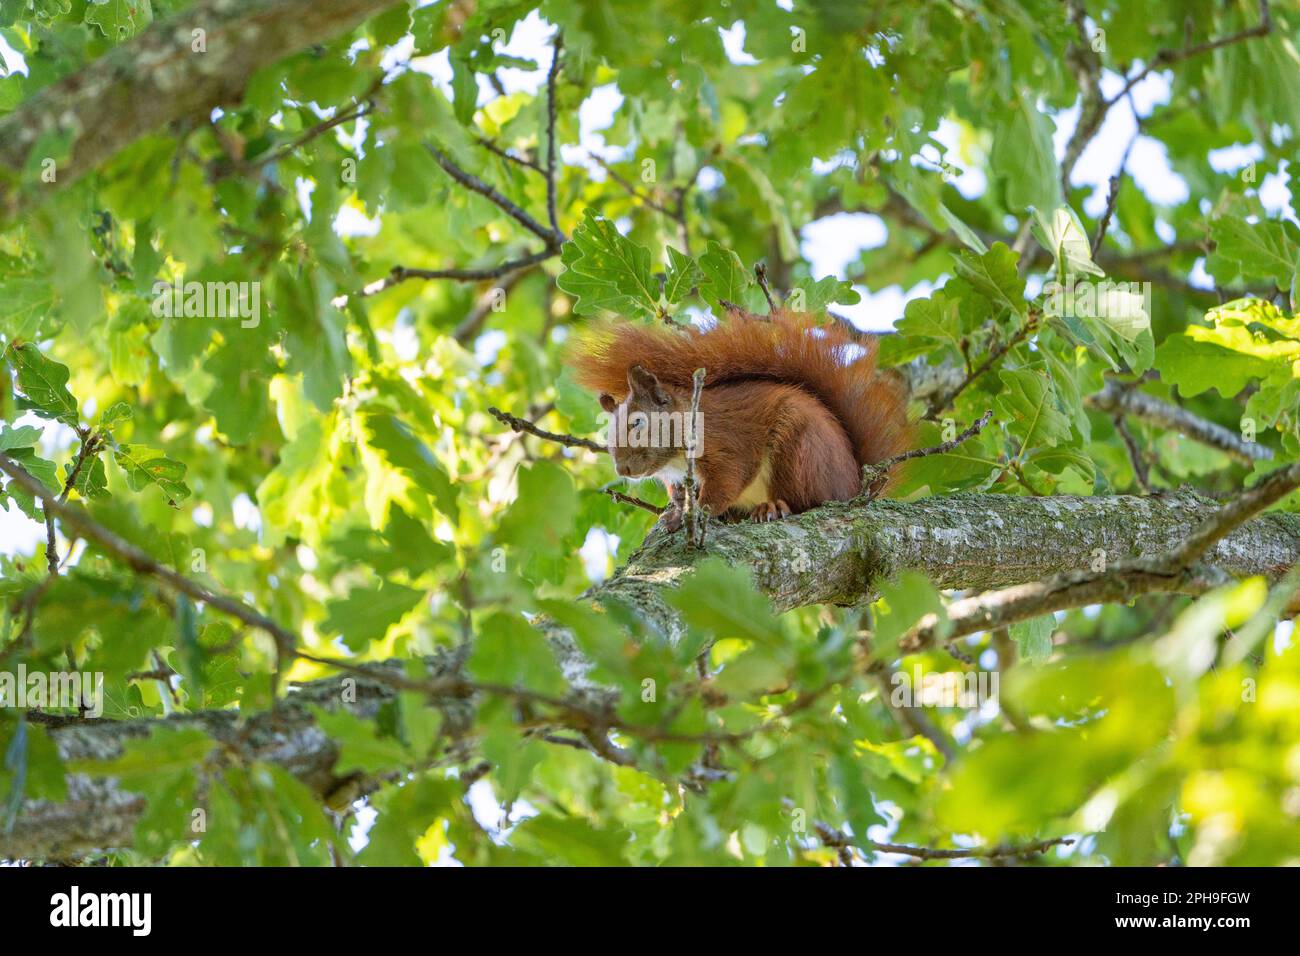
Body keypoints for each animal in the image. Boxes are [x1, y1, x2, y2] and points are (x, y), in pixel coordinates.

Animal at [567, 308, 912, 531]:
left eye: (638, 423)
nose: (622, 469)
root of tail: (856, 485)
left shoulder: (726, 444)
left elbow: (728, 479)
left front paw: (697, 513)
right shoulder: (677, 479)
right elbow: (680, 497)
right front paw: (675, 515)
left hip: (799, 449)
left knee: (806, 499)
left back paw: (774, 507)